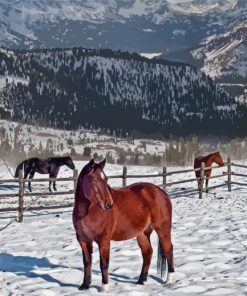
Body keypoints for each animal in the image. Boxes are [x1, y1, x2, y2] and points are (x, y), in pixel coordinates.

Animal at [72, 160, 175, 292]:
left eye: (106, 179)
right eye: (93, 180)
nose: (109, 204)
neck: (88, 212)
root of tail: (161, 192)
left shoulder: (104, 240)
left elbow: (104, 263)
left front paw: (104, 288)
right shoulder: (83, 240)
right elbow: (87, 262)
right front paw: (85, 286)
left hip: (163, 228)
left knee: (168, 249)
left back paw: (169, 281)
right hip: (142, 233)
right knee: (147, 252)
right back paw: (141, 281)